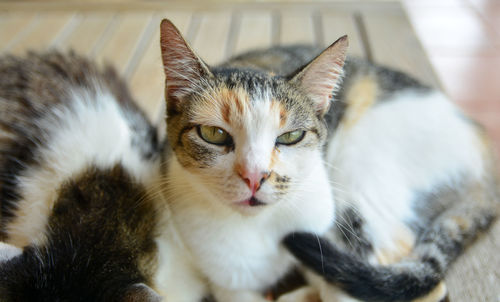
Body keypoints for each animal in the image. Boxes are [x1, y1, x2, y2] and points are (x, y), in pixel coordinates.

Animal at [158, 19, 498, 302]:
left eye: (291, 136)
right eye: (213, 134)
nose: (255, 176)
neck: (259, 227)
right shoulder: (227, 282)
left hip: (359, 170)